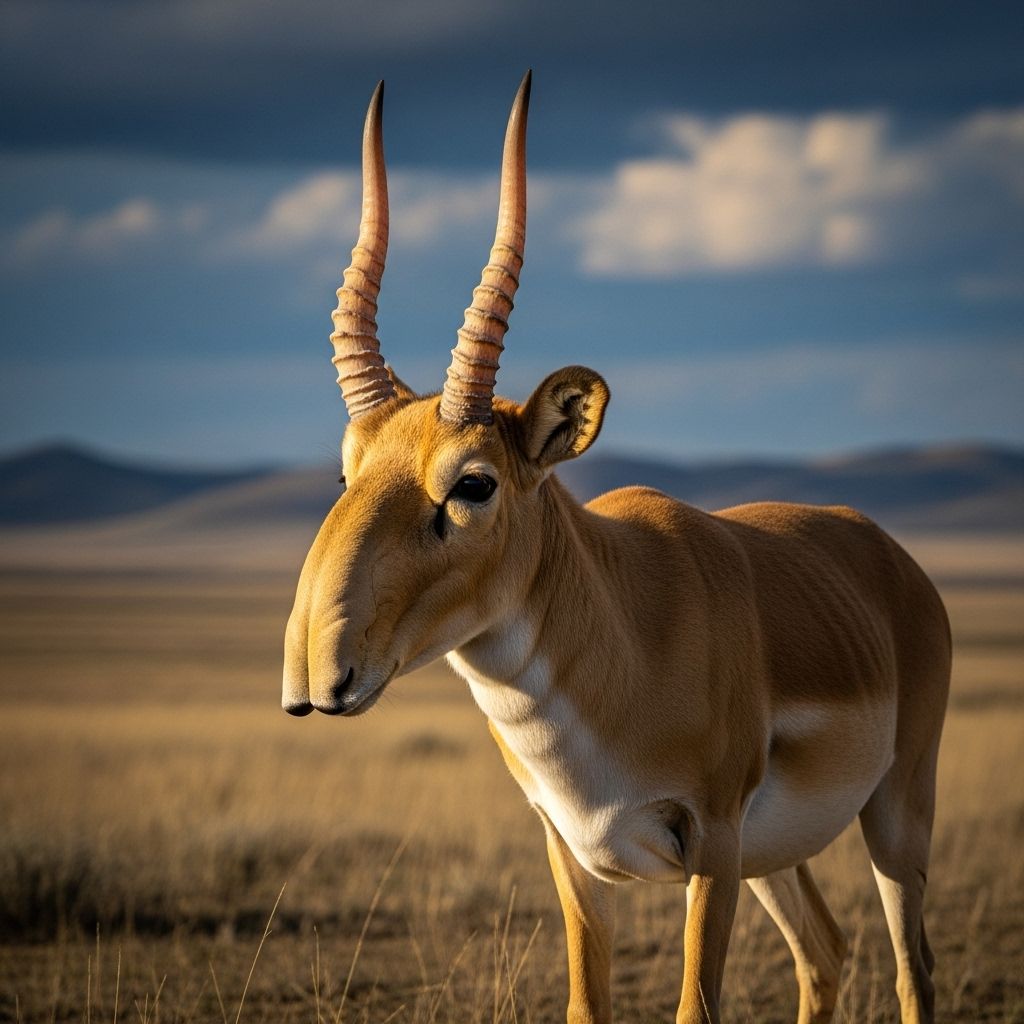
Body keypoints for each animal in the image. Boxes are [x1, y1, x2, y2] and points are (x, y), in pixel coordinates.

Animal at [282, 73, 950, 1024]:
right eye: (347, 473)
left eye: (474, 483)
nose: (317, 670)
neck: (621, 635)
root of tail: (888, 553)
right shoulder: (573, 855)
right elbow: (585, 1004)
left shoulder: (711, 844)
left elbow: (695, 1008)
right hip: (777, 857)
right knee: (825, 951)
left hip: (895, 810)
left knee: (911, 966)